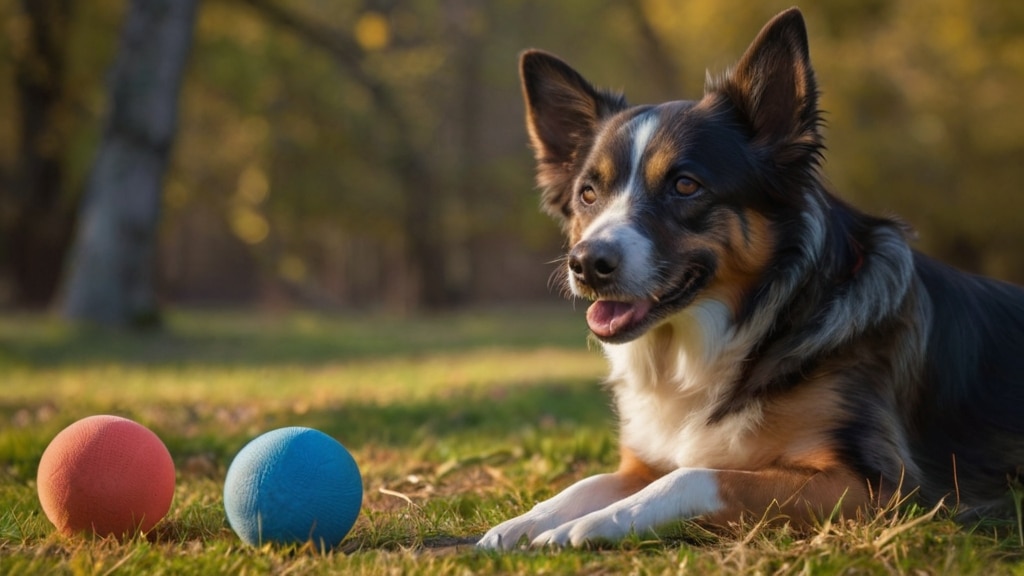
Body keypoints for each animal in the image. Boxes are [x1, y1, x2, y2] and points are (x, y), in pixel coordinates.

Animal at [477, 7, 1024, 545]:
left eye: (685, 185)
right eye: (588, 194)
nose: (588, 263)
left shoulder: (881, 489)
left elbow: (695, 475)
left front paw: (592, 524)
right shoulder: (642, 463)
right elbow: (586, 483)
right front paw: (522, 524)